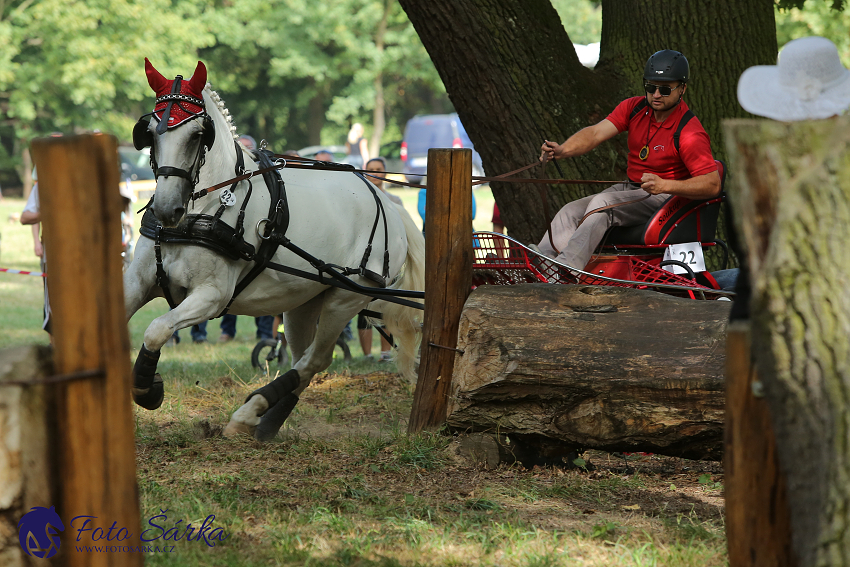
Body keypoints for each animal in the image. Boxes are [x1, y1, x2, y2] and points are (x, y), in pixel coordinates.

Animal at [124, 61, 424, 444]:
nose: (166, 209)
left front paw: (147, 389)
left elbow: (156, 329)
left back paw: (249, 413)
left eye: (196, 135)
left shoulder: (211, 296)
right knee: (305, 358)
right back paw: (267, 419)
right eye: (149, 133)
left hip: (345, 299)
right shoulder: (137, 281)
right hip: (303, 303)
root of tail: (387, 200)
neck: (200, 211)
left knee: (315, 360)